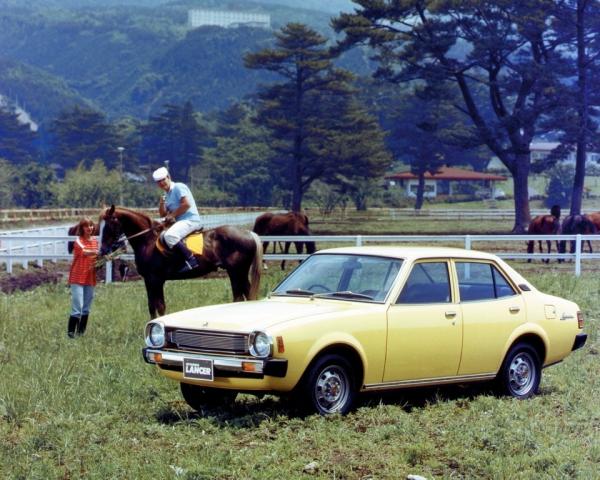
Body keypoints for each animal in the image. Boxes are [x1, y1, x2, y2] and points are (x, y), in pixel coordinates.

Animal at [99, 206, 262, 318]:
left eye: (109, 225)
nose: (103, 251)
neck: (148, 241)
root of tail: (248, 233)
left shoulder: (155, 280)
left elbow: (159, 306)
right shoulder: (149, 281)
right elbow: (152, 306)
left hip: (235, 272)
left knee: (239, 297)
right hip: (240, 273)